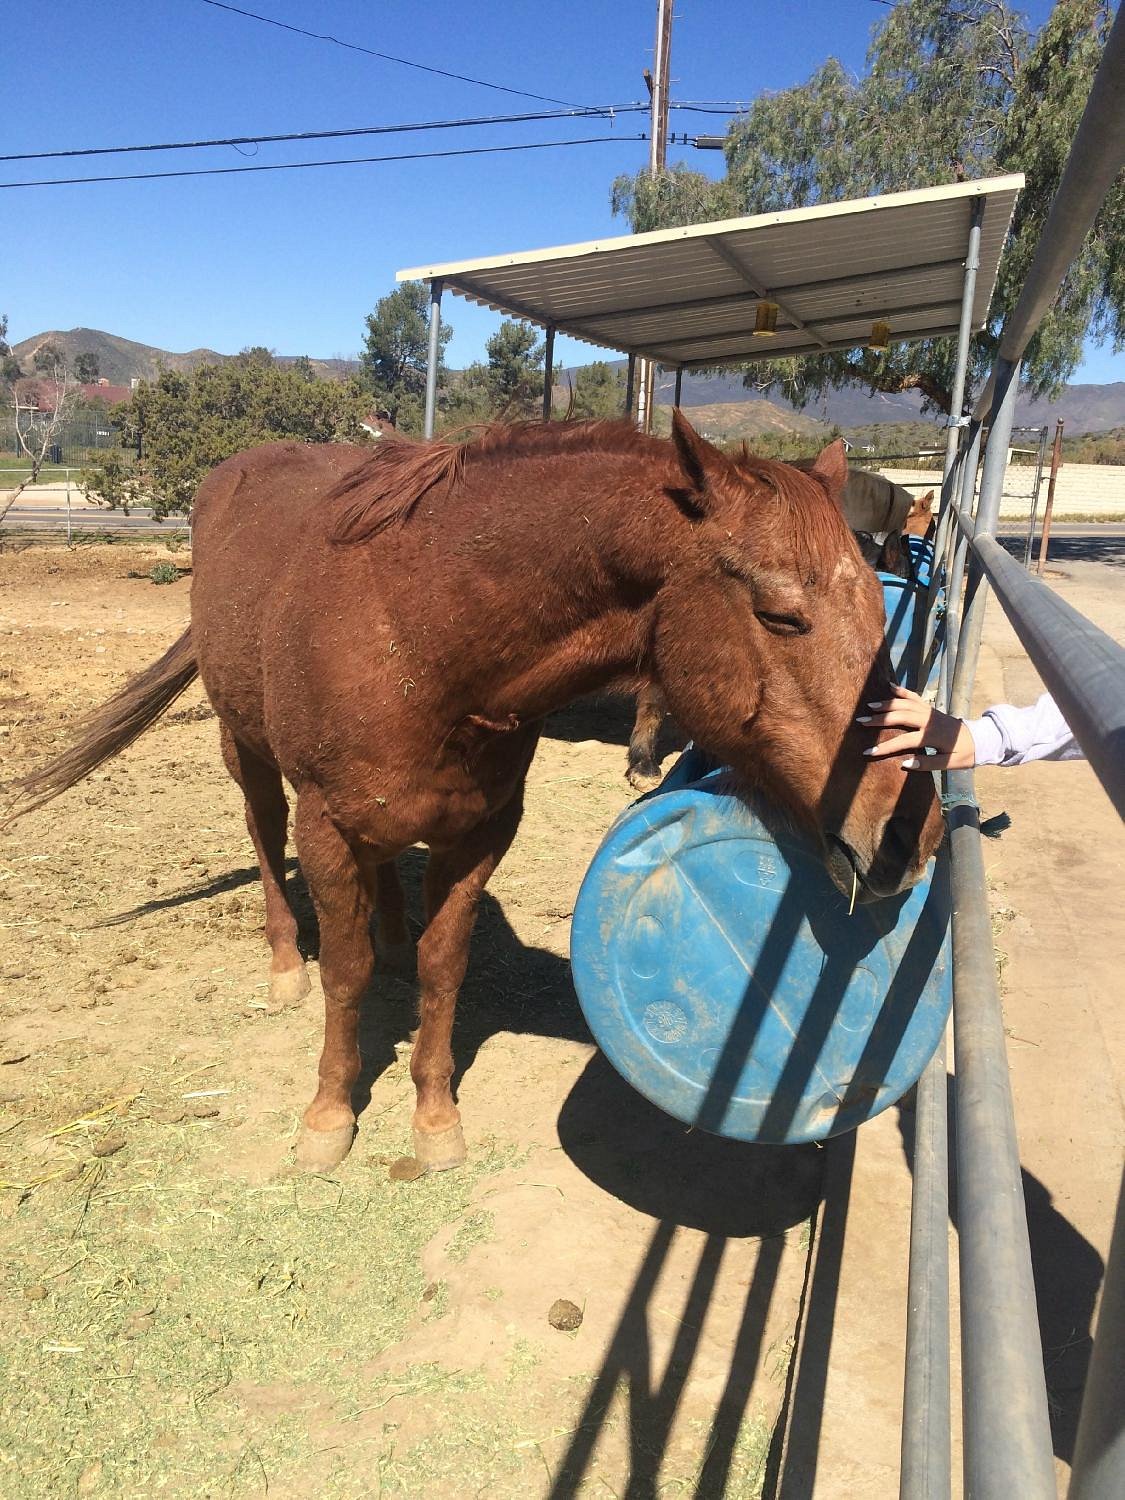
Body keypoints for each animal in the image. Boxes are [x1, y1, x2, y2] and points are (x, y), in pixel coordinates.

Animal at [17, 417, 942, 1176]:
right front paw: (328, 1118)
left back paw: (389, 929)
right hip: (245, 748)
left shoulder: (481, 832)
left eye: (878, 605)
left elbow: (442, 967)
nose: (908, 834)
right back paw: (283, 963)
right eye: (780, 615)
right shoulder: (325, 825)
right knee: (262, 835)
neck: (415, 630)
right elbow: (344, 974)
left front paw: (433, 1120)